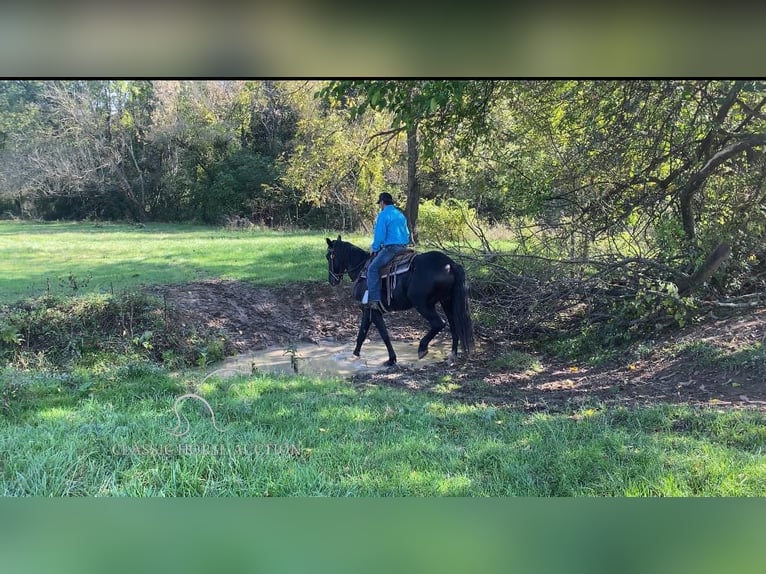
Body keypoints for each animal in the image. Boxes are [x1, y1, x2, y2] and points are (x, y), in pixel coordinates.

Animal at [324, 236, 474, 366]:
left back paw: (422, 348)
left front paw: (391, 359)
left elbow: (383, 334)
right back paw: (452, 355)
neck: (362, 269)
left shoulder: (372, 310)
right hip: (446, 301)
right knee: (454, 325)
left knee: (439, 323)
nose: (332, 280)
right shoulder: (367, 311)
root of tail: (450, 264)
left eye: (328, 256)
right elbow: (362, 333)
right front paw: (355, 355)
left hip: (423, 304)